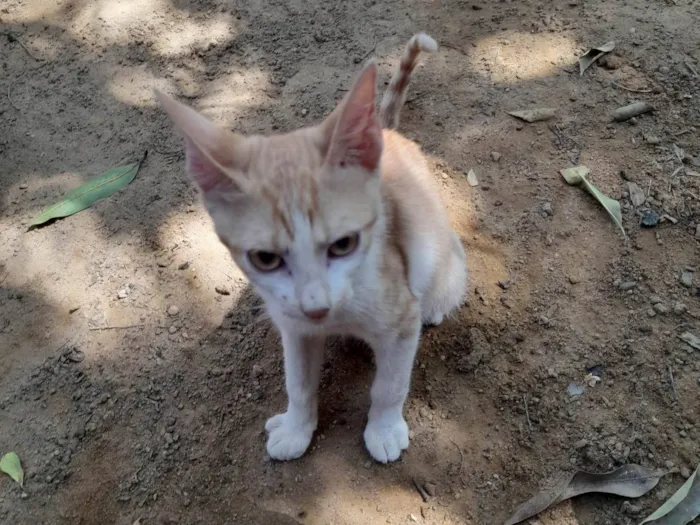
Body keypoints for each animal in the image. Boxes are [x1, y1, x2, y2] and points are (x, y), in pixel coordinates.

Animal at [156, 31, 468, 462]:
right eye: (265, 258)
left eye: (344, 244)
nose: (317, 308)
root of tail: (388, 135)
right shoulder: (293, 323)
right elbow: (299, 382)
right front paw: (296, 427)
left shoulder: (400, 314)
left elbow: (389, 385)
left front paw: (384, 429)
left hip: (443, 257)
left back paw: (434, 308)